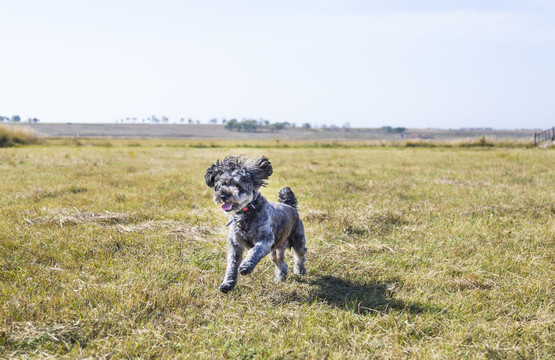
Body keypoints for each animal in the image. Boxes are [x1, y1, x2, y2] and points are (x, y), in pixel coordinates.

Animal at [205, 155, 308, 292]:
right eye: (222, 184)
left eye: (238, 185)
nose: (223, 195)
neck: (245, 214)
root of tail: (289, 205)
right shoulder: (235, 245)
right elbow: (231, 265)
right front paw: (227, 284)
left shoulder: (265, 240)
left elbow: (254, 252)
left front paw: (245, 266)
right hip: (276, 250)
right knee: (281, 263)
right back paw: (280, 277)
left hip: (297, 239)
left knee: (300, 255)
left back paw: (299, 271)